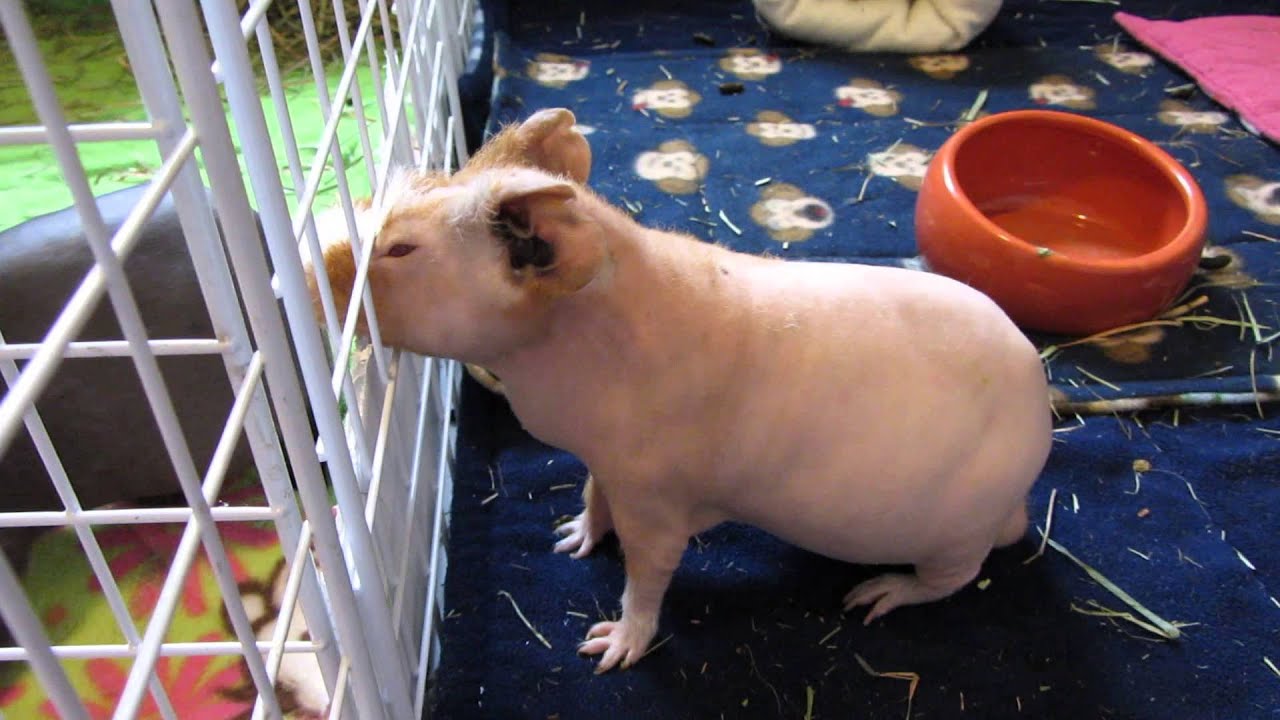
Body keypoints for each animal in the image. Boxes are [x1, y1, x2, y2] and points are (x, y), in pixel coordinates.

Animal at [310, 109, 1053, 674]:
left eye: (401, 250)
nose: (315, 257)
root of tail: (1027, 474)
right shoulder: (606, 466)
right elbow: (591, 497)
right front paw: (569, 540)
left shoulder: (655, 500)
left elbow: (647, 576)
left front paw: (608, 651)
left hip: (956, 536)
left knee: (953, 578)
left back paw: (875, 595)